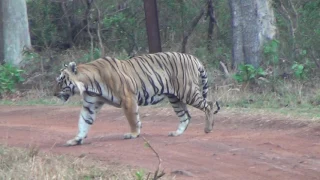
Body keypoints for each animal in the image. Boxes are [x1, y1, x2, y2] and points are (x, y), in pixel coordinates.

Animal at [54, 51, 220, 146]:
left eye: (61, 81)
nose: (54, 94)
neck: (89, 84)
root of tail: (194, 58)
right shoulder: (90, 104)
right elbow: (83, 122)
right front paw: (76, 140)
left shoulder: (128, 98)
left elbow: (132, 118)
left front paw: (133, 133)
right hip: (175, 97)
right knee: (185, 116)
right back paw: (176, 133)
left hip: (188, 91)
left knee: (209, 104)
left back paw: (208, 128)